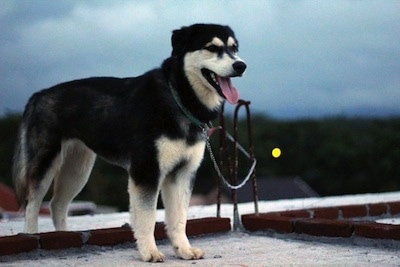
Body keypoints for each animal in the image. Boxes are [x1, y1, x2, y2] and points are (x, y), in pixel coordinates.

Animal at [12, 24, 245, 262]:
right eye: (212, 47)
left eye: (234, 48)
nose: (241, 65)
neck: (178, 97)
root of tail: (37, 96)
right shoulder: (147, 170)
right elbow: (147, 217)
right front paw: (149, 251)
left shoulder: (182, 174)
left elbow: (179, 218)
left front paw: (184, 249)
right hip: (45, 164)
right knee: (32, 204)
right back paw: (32, 235)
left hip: (77, 170)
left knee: (57, 204)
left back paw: (63, 236)